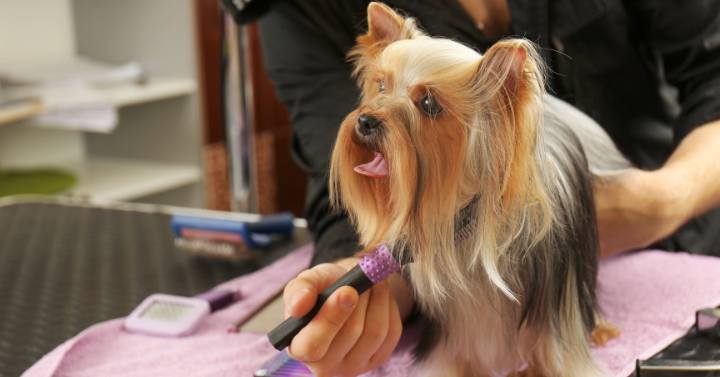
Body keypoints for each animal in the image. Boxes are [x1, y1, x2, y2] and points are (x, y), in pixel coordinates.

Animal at [330, 2, 628, 376]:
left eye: (429, 104)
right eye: (381, 86)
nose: (365, 121)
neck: (463, 216)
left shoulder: (552, 316)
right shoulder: (451, 333)